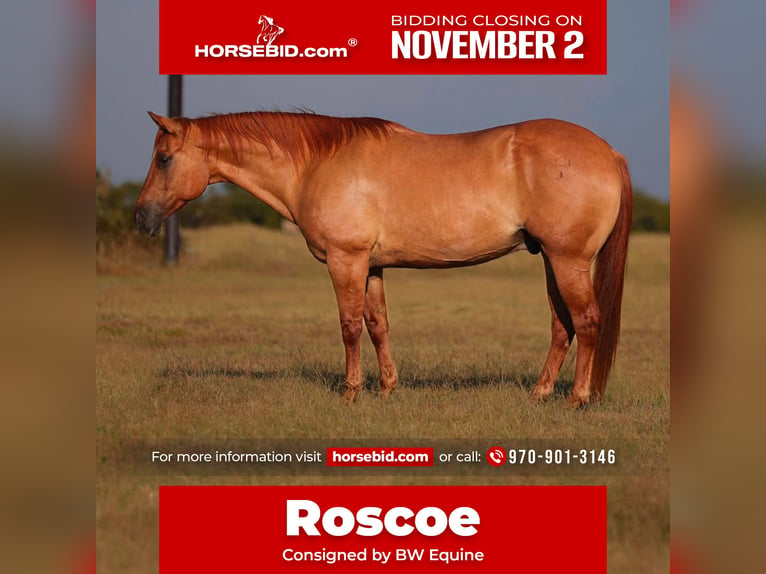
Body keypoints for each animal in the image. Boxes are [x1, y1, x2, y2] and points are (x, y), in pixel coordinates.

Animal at [134, 111, 632, 406]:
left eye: (163, 158)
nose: (140, 217)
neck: (317, 163)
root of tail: (608, 151)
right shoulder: (371, 266)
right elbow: (377, 325)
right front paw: (388, 387)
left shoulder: (346, 260)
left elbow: (349, 327)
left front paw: (351, 392)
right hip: (550, 259)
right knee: (562, 326)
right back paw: (540, 392)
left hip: (567, 260)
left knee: (586, 321)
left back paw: (578, 399)